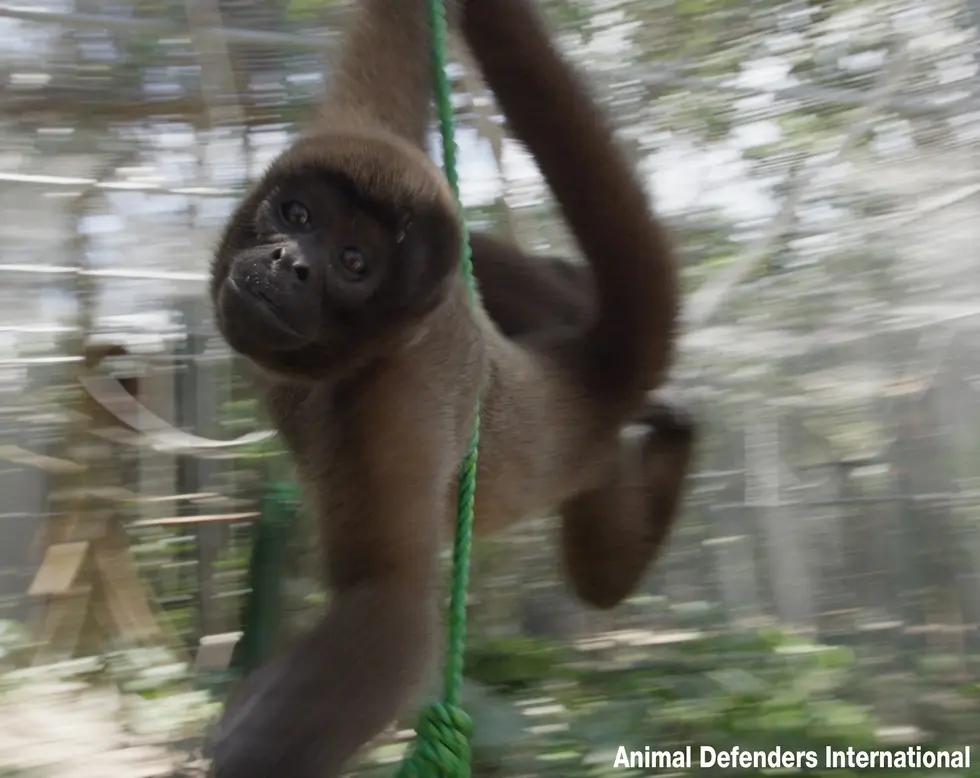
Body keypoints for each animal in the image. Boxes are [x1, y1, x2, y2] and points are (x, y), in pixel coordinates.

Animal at [209, 0, 688, 772]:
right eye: (297, 215)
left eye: (353, 262)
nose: (290, 261)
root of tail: (585, 379)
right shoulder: (357, 136)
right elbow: (393, 40)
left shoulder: (393, 401)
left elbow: (393, 605)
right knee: (512, 265)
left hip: (583, 455)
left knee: (601, 587)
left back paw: (678, 443)